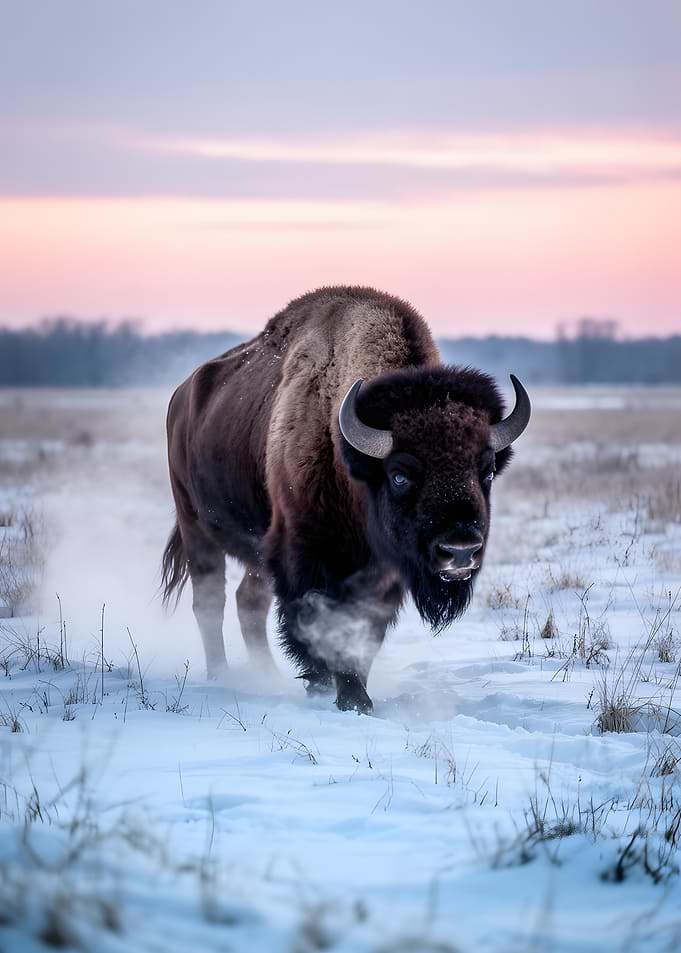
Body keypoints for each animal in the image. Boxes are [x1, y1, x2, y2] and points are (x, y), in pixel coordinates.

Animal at [162, 286, 530, 713]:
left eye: (486, 471)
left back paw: (266, 675)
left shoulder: (383, 572)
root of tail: (181, 396)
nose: (460, 551)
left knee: (247, 602)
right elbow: (318, 624)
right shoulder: (304, 552)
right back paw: (221, 676)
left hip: (255, 553)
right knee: (210, 601)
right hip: (195, 525)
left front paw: (354, 695)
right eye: (400, 474)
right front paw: (337, 691)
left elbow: (363, 631)